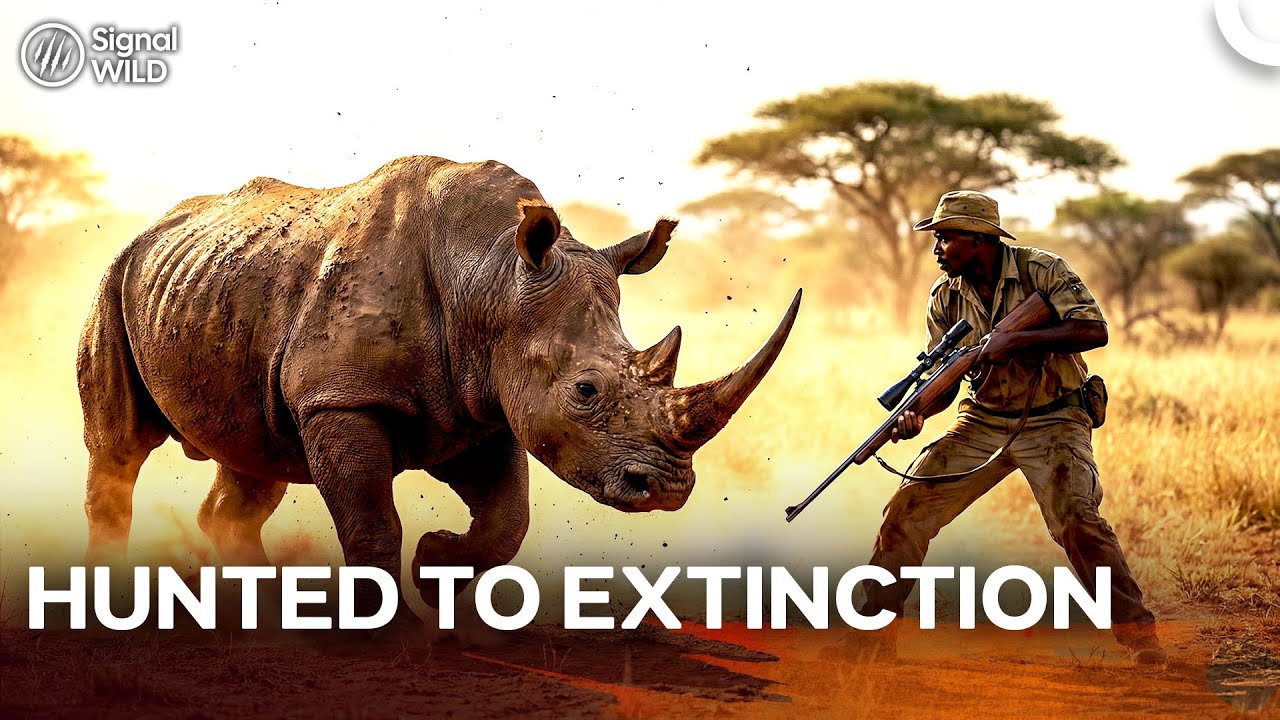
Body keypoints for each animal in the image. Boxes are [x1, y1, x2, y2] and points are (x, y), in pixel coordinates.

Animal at [77, 156, 800, 626]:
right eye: (586, 390)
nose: (669, 490)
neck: (492, 276)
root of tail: (155, 226)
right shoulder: (341, 398)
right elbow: (372, 520)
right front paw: (386, 633)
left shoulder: (485, 407)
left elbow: (509, 519)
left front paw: (436, 567)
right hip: (113, 278)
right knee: (119, 450)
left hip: (225, 298)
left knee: (251, 459)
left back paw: (259, 605)